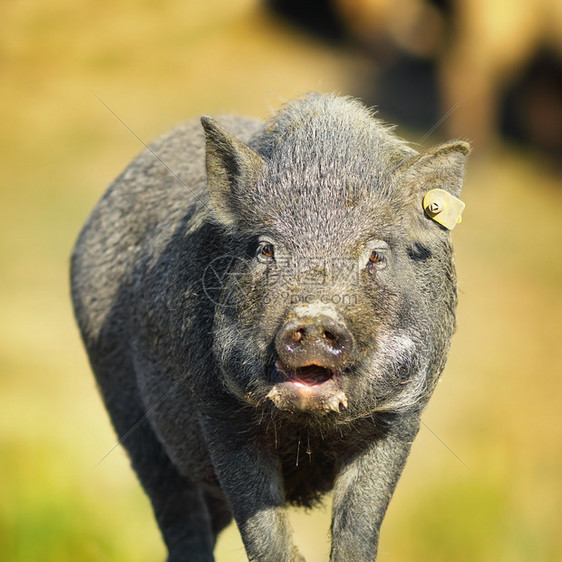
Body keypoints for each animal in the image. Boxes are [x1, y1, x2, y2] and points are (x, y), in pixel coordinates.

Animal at [70, 93, 466, 560]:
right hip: (126, 408)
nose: (313, 318)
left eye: (375, 255)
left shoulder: (401, 415)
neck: (307, 430)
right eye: (265, 249)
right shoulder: (220, 412)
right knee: (177, 515)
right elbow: (265, 533)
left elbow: (359, 527)